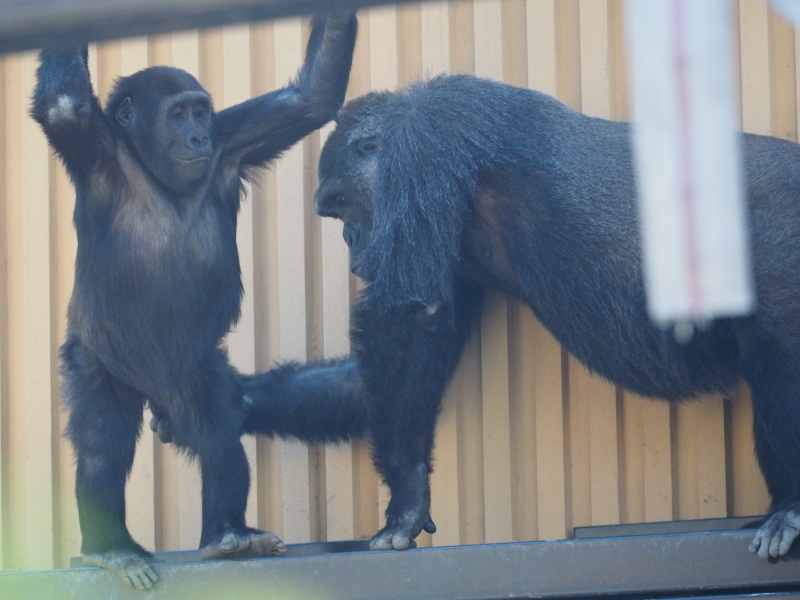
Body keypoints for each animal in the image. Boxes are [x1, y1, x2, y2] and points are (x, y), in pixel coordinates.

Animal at [31, 14, 356, 592]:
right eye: (177, 113)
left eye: (201, 111)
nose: (197, 134)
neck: (148, 164)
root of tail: (154, 390)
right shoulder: (93, 148)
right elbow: (66, 106)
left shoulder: (233, 143)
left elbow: (310, 99)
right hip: (99, 364)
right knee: (103, 441)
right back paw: (111, 549)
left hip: (192, 374)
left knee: (217, 430)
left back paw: (228, 536)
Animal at [241, 74, 800, 556]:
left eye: (340, 203)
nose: (349, 240)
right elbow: (402, 352)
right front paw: (239, 400)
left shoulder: (428, 136)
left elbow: (409, 315)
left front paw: (405, 490)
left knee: (780, 368)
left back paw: (791, 509)